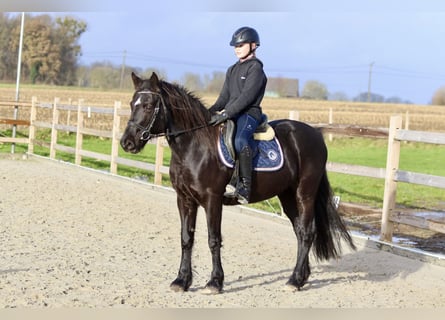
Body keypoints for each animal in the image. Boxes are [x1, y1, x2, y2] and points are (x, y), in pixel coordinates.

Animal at [120, 72, 354, 292]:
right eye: (132, 104)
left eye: (148, 106)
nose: (127, 143)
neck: (195, 146)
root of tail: (316, 134)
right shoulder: (185, 199)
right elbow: (186, 238)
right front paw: (182, 281)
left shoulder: (212, 199)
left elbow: (213, 239)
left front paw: (215, 282)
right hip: (287, 195)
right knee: (299, 231)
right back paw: (301, 278)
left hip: (304, 193)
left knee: (306, 233)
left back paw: (294, 280)